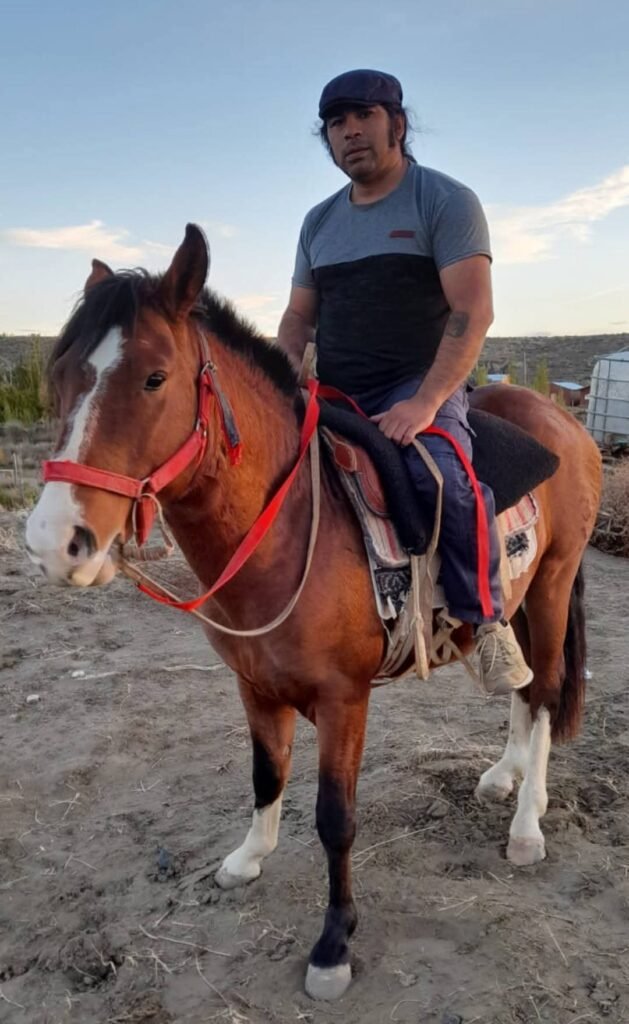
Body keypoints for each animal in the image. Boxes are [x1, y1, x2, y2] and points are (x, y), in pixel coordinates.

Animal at [26, 224, 602, 1001]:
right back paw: (503, 776)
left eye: (153, 378)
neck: (290, 524)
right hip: (510, 602)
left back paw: (527, 824)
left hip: (551, 585)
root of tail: (561, 420)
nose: (55, 542)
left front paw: (333, 945)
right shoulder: (253, 687)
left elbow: (335, 819)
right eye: (59, 378)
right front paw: (247, 858)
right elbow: (266, 776)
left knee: (544, 692)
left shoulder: (343, 699)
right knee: (520, 685)